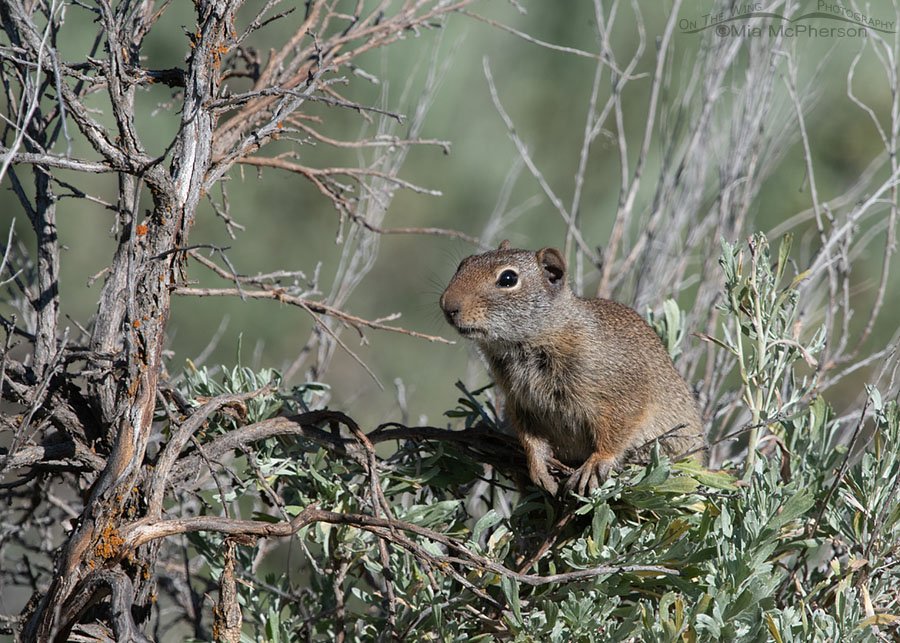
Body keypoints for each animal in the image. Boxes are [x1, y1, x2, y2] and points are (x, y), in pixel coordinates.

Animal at [440, 241, 706, 496]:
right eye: (464, 263)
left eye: (508, 279)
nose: (447, 305)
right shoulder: (521, 404)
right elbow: (531, 438)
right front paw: (538, 468)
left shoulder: (624, 395)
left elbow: (618, 430)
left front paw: (596, 463)